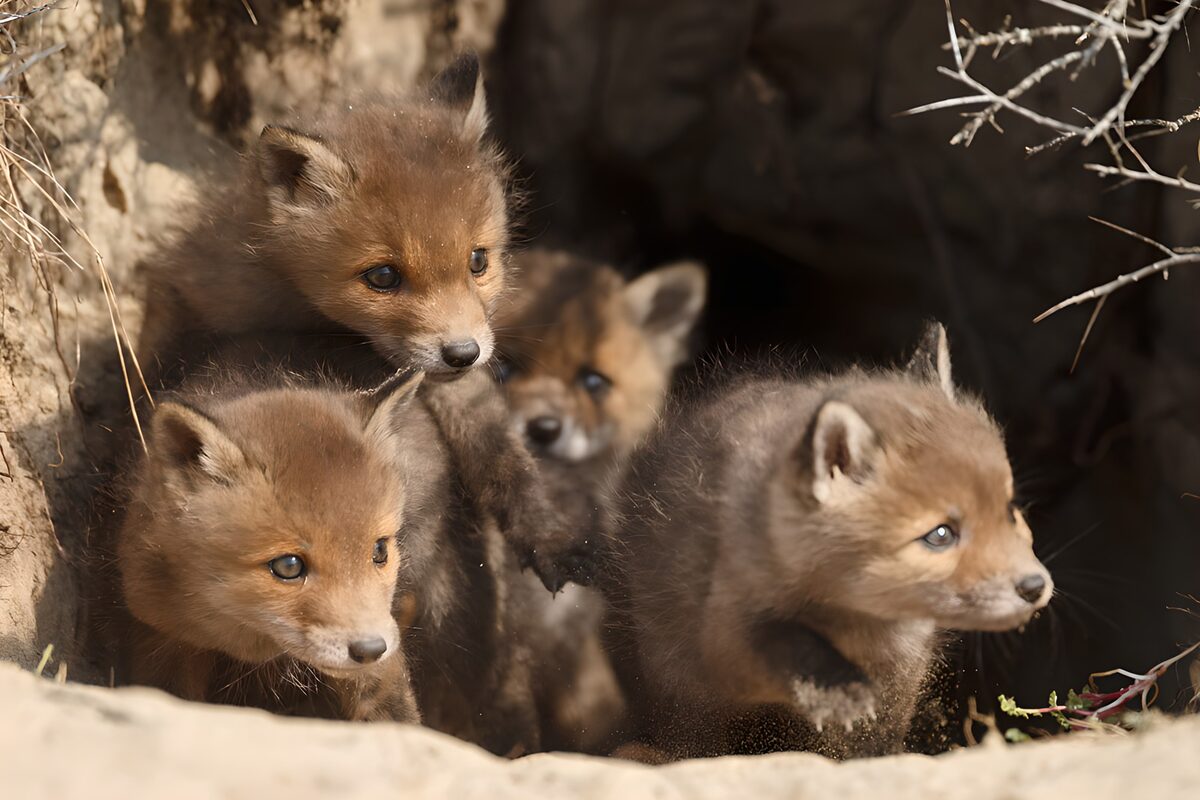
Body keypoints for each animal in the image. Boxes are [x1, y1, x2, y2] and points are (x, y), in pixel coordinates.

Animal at [134, 53, 589, 591]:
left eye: (478, 261)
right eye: (384, 276)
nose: (463, 354)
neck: (310, 314)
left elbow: (501, 454)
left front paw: (546, 534)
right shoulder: (191, 293)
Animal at [600, 322, 1054, 761]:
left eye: (1010, 510)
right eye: (940, 535)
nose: (1035, 586)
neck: (857, 619)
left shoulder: (901, 675)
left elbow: (876, 745)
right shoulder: (725, 635)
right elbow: (791, 644)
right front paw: (837, 690)